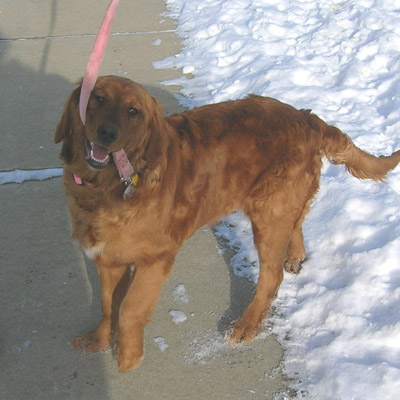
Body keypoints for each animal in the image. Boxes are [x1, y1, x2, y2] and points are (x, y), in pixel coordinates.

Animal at [55, 75, 400, 372]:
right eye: (97, 98)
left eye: (132, 111)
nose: (107, 133)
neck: (107, 187)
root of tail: (307, 117)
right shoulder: (107, 259)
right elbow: (107, 305)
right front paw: (99, 340)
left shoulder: (155, 259)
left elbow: (129, 310)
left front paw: (128, 357)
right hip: (286, 203)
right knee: (298, 223)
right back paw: (295, 256)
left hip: (269, 214)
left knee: (271, 276)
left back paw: (247, 325)